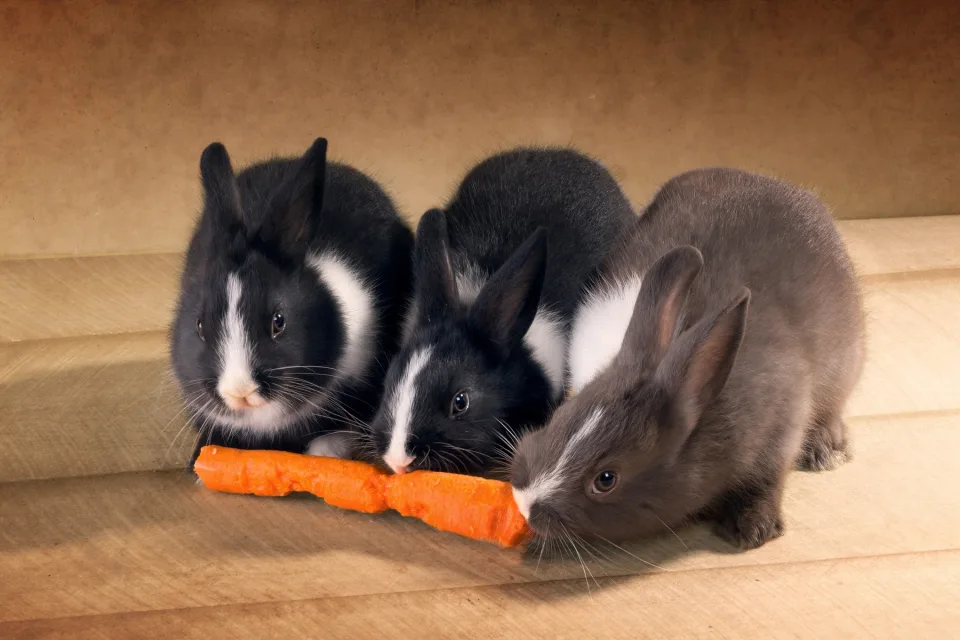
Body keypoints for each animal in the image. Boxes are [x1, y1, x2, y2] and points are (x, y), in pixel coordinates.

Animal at [510, 167, 865, 551]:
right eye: (559, 418)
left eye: (606, 479)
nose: (525, 503)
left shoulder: (782, 430)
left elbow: (767, 480)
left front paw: (752, 529)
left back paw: (826, 450)